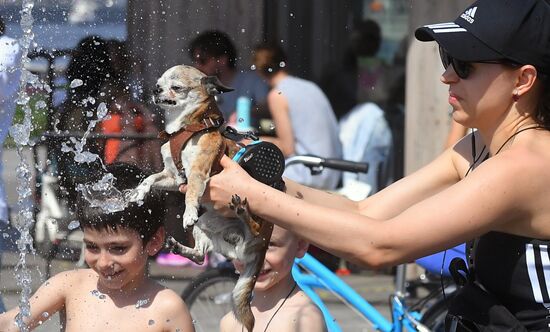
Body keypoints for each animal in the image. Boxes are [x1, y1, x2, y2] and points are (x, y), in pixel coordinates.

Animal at [130, 65, 276, 332]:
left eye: (176, 87)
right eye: (158, 83)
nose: (155, 90)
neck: (186, 128)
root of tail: (257, 252)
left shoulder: (197, 174)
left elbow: (190, 194)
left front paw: (188, 212)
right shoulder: (173, 177)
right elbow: (150, 178)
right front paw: (139, 191)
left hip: (258, 222)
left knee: (254, 226)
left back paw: (243, 213)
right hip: (206, 225)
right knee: (199, 256)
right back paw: (179, 246)